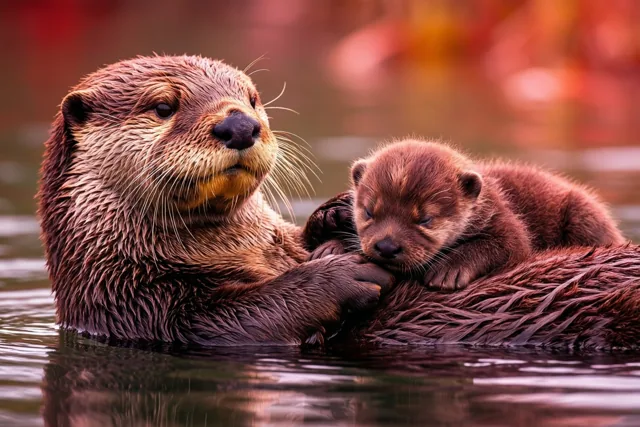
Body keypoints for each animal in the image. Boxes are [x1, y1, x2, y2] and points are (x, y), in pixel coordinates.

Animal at [38, 55, 394, 345]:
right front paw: (339, 276)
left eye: (252, 100)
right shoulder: (142, 310)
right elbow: (241, 316)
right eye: (163, 107)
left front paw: (338, 213)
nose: (240, 125)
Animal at [309, 139, 624, 290]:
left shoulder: (506, 222)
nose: (386, 246)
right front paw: (331, 247)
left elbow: (503, 245)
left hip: (584, 218)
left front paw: (450, 269)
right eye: (368, 211)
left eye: (425, 219)